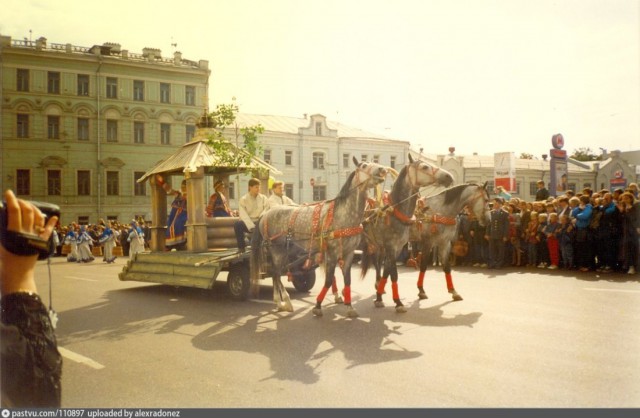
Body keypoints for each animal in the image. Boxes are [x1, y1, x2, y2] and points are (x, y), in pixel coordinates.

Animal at [251, 157, 388, 316]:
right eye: (364, 165)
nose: (382, 169)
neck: (343, 215)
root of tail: (265, 214)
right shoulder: (333, 253)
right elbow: (328, 280)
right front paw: (318, 306)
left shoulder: (348, 253)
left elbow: (347, 280)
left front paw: (349, 306)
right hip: (276, 250)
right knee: (276, 273)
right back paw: (285, 301)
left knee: (275, 274)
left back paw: (279, 302)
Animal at [360, 155, 456, 312]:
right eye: (424, 167)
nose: (449, 176)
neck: (394, 212)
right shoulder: (391, 247)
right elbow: (393, 274)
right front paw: (398, 302)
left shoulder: (397, 248)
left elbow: (388, 271)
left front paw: (379, 297)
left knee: (377, 263)